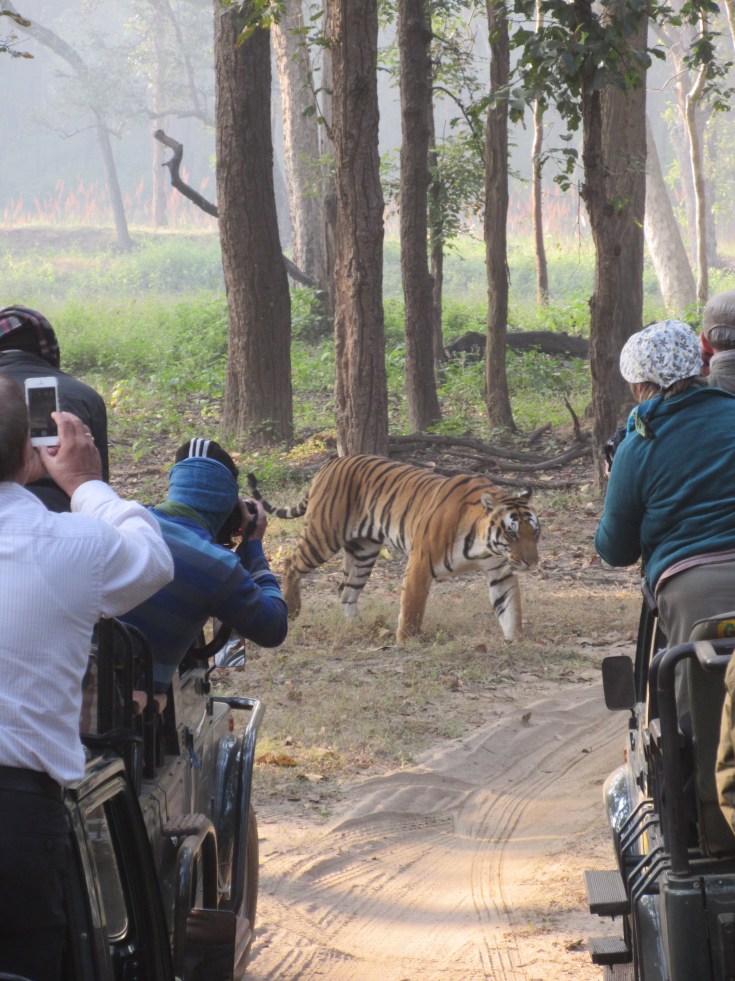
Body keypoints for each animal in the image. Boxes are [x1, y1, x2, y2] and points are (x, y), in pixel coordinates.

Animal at [247, 454, 540, 644]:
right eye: (512, 532)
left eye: (534, 532)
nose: (531, 562)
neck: (484, 546)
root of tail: (330, 464)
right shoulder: (420, 563)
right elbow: (412, 606)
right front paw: (407, 641)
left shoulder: (500, 572)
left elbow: (510, 608)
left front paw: (517, 640)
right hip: (323, 536)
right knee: (291, 564)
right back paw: (293, 610)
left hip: (363, 552)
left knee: (346, 590)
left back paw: (360, 628)